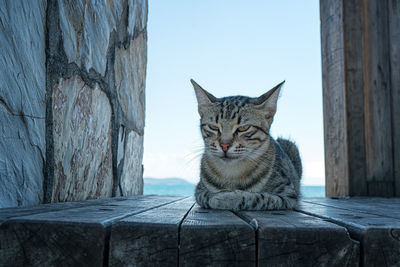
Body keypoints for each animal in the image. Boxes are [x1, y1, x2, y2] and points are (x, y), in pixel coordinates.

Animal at [192, 79, 302, 211]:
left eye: (243, 128)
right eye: (213, 127)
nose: (224, 145)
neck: (232, 174)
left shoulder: (288, 195)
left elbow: (258, 197)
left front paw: (228, 198)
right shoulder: (198, 190)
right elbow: (205, 196)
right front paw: (218, 196)